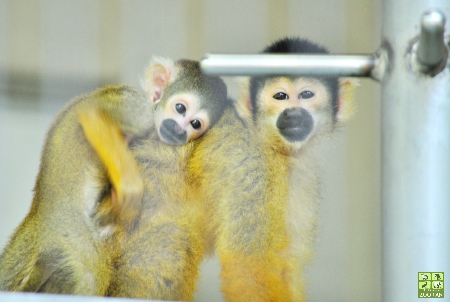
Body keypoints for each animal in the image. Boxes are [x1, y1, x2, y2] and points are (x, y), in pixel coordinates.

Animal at [0, 56, 229, 298]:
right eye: (180, 108)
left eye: (196, 124)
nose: (179, 131)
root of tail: (38, 212)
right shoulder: (138, 109)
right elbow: (92, 112)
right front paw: (129, 189)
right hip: (67, 226)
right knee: (90, 274)